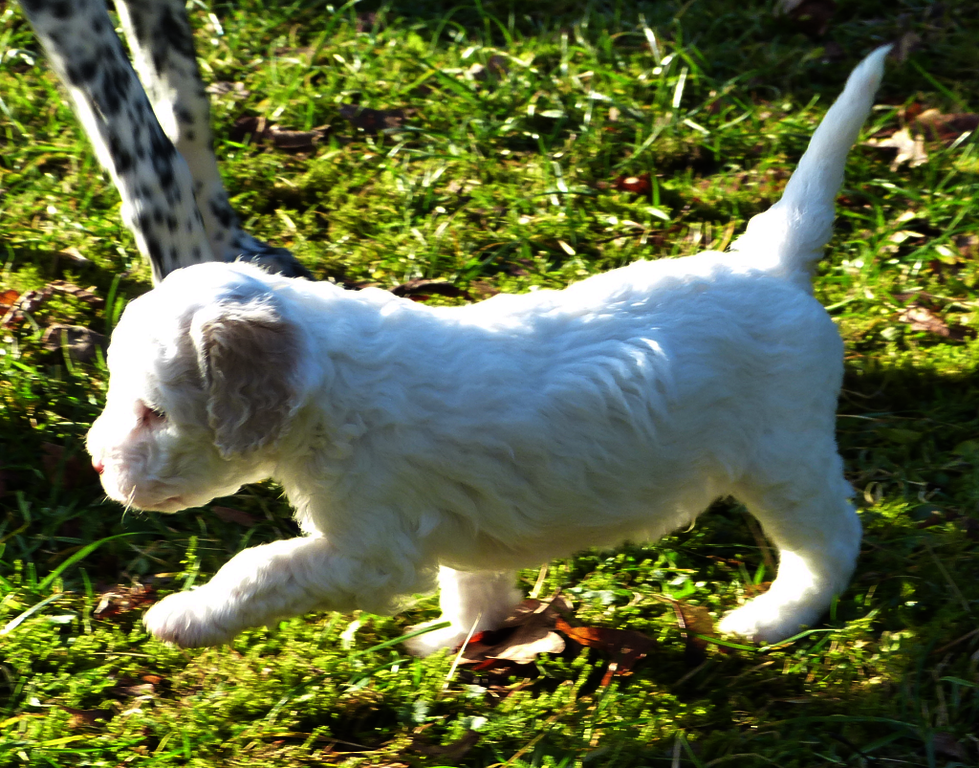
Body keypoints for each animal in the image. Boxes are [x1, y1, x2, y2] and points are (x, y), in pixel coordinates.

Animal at [87, 46, 890, 654]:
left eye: (155, 412)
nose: (95, 462)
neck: (331, 384)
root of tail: (770, 264)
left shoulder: (367, 548)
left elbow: (258, 568)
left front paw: (183, 616)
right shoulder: (447, 527)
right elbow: (469, 581)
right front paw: (461, 638)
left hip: (782, 457)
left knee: (830, 540)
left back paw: (776, 617)